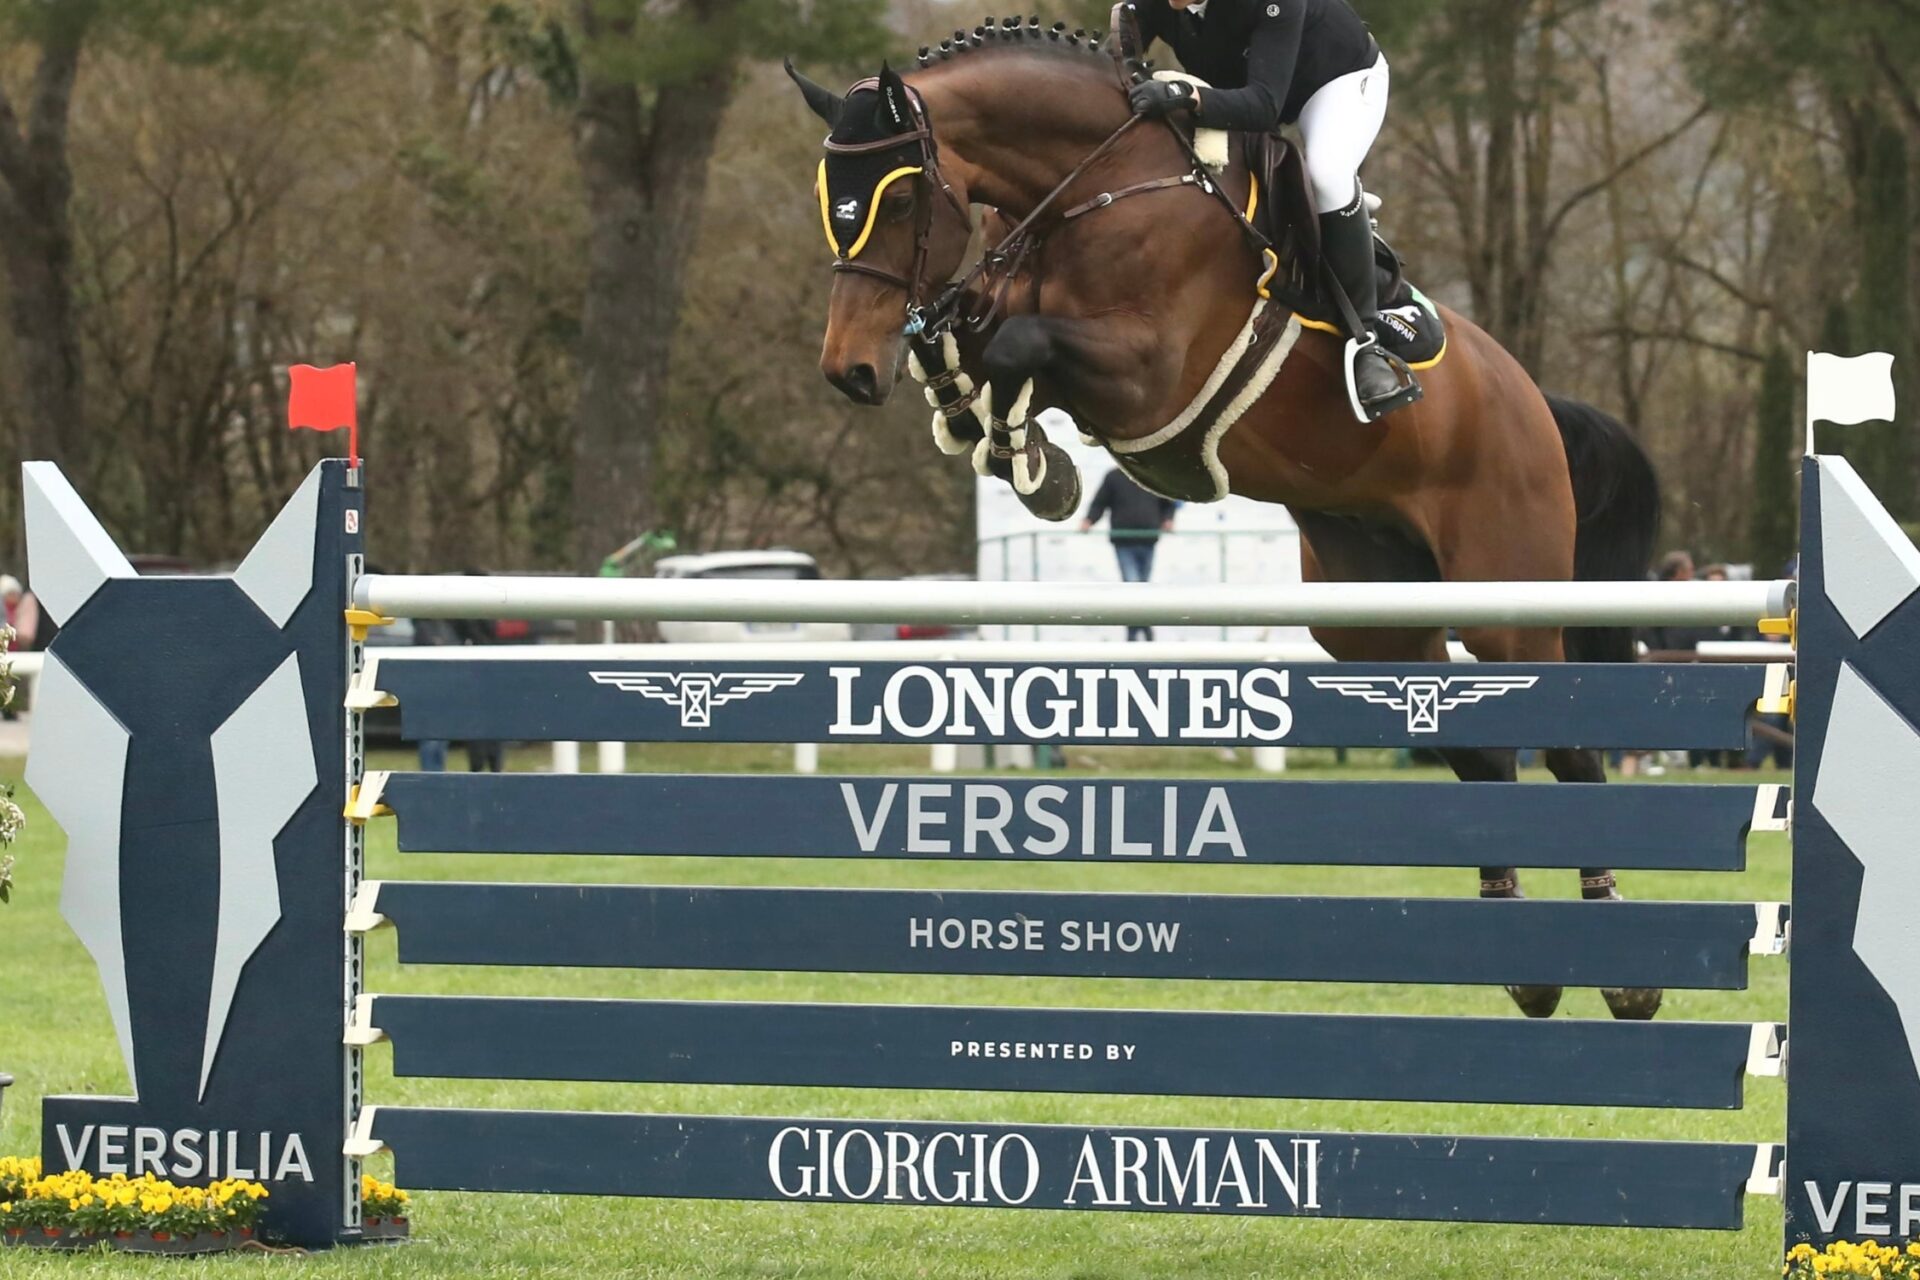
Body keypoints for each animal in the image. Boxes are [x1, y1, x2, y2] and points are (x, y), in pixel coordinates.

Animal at [787, 20, 1664, 1022]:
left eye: (897, 202)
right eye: (831, 205)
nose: (849, 371)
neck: (1096, 187)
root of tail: (1533, 400)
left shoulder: (1147, 375)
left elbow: (1015, 347)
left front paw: (1031, 461)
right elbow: (974, 345)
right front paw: (1004, 442)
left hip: (1505, 597)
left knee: (1569, 745)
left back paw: (1624, 969)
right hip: (1372, 618)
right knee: (1478, 751)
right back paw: (1529, 959)